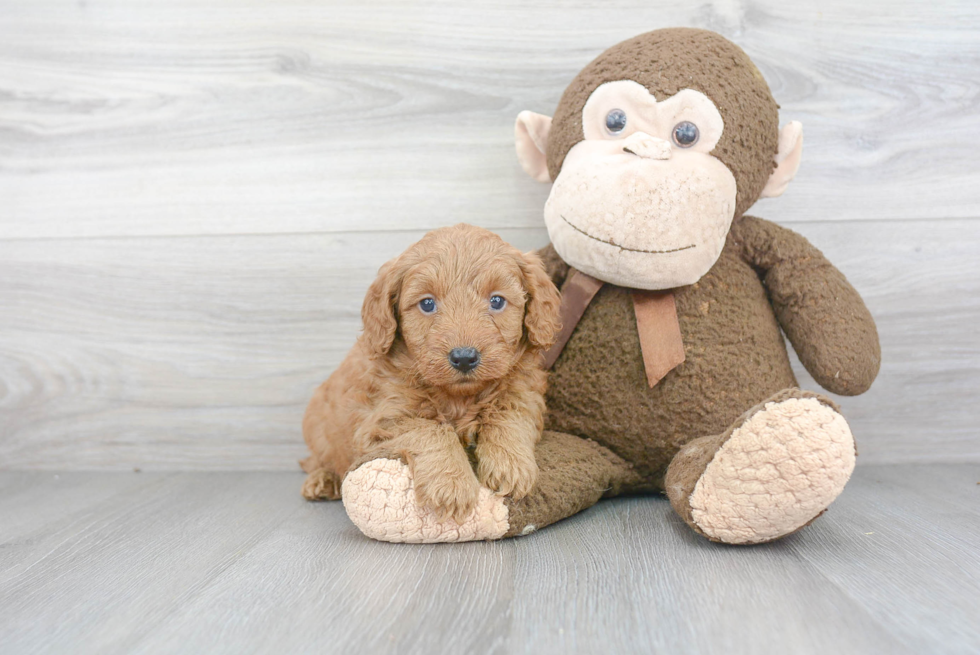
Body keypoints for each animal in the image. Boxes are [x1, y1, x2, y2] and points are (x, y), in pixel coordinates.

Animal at [298, 226, 560, 524]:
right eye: (427, 304)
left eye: (496, 301)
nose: (464, 357)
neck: (458, 397)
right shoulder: (383, 418)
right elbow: (432, 429)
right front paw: (452, 484)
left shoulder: (523, 394)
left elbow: (507, 417)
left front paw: (511, 464)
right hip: (318, 427)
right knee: (317, 460)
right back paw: (322, 480)